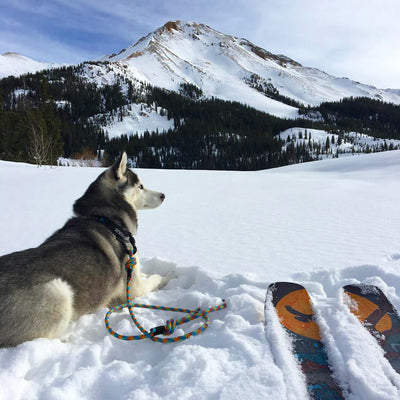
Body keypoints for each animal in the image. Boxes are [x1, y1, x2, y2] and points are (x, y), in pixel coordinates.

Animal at [0, 152, 169, 346]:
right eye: (140, 186)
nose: (163, 195)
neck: (105, 218)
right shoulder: (134, 288)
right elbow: (155, 278)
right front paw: (169, 276)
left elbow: (148, 274)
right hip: (58, 292)